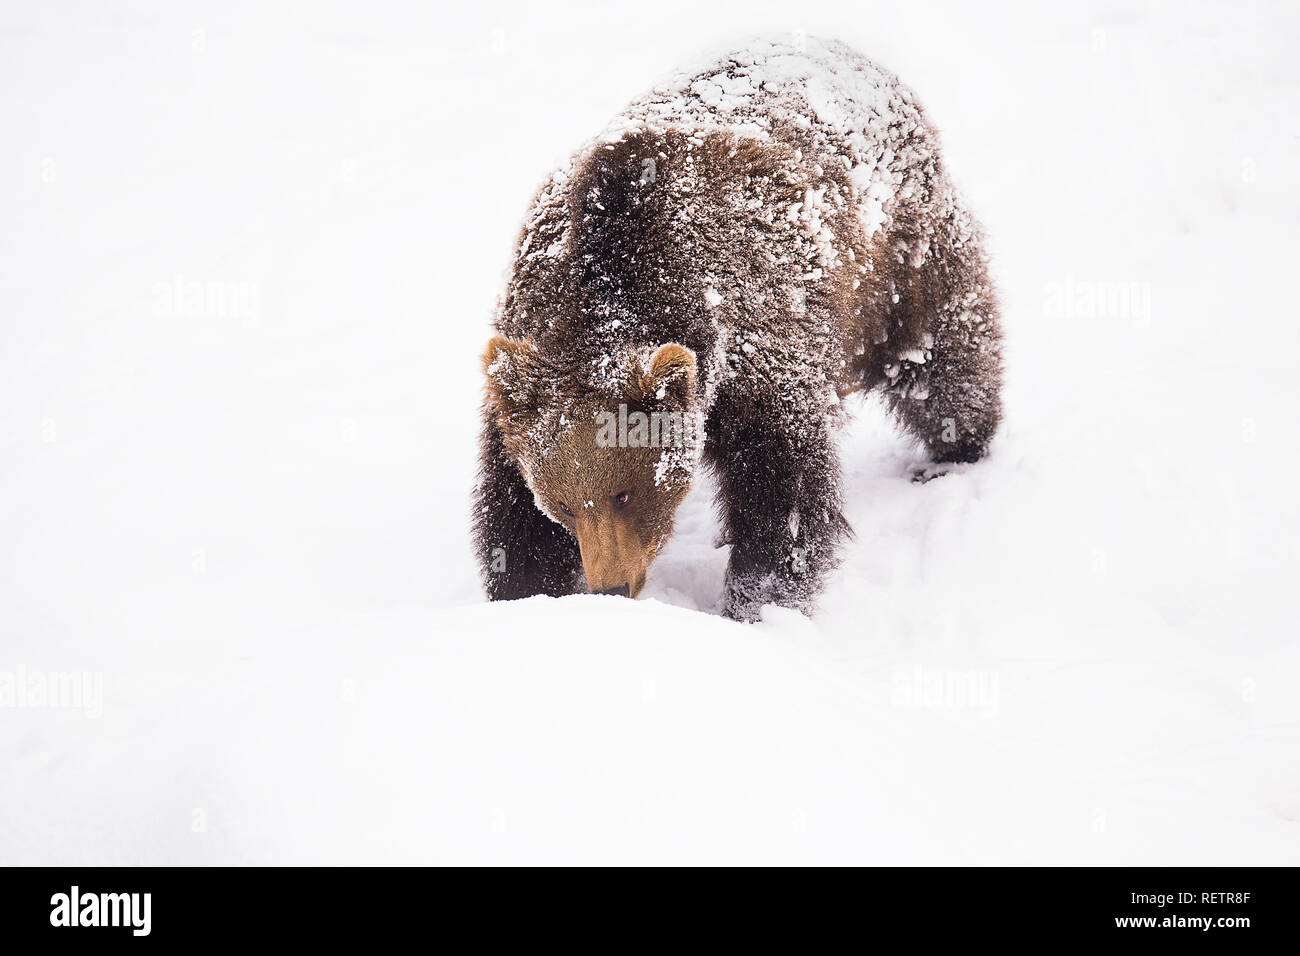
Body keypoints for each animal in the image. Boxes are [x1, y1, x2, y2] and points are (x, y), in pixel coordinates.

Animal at [473, 37, 1003, 621]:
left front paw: (759, 600)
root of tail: (850, 53)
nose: (612, 586)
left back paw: (955, 448)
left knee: (940, 358)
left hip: (901, 261)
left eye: (626, 493)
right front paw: (529, 591)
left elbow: (782, 486)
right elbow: (512, 513)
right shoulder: (522, 367)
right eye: (563, 504)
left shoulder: (755, 344)